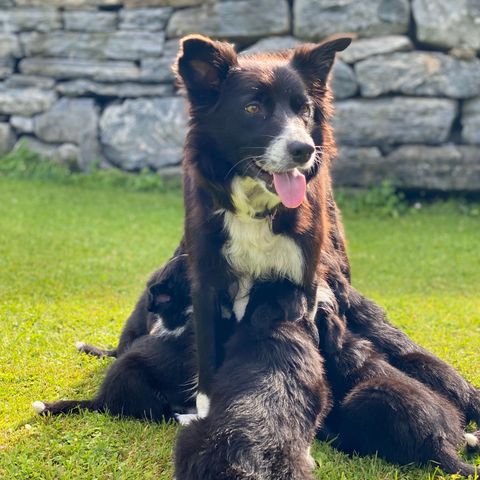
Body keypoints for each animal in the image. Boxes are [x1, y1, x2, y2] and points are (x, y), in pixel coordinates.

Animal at [174, 32, 350, 416]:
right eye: (253, 108)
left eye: (304, 109)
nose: (304, 150)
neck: (256, 208)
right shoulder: (205, 274)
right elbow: (207, 350)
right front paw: (206, 411)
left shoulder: (305, 275)